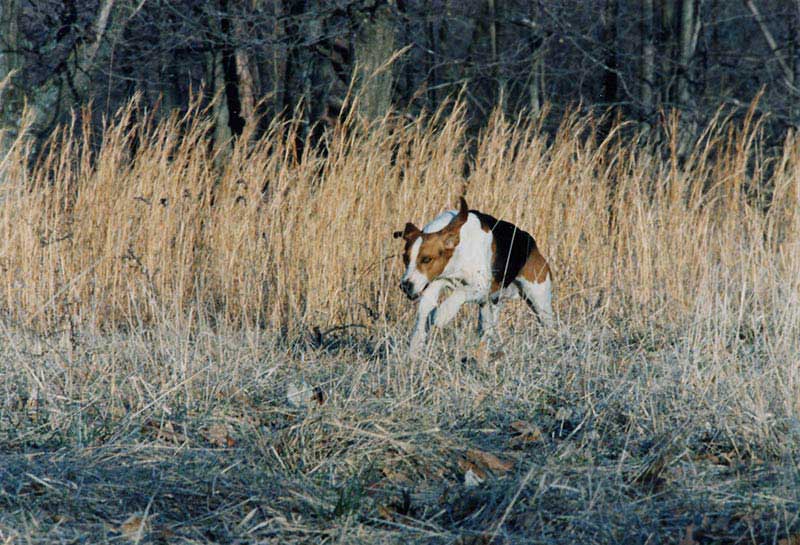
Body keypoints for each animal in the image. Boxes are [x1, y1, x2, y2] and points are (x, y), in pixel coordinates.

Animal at [392, 198, 552, 354]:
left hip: (540, 301)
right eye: (405, 259)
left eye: (426, 259)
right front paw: (414, 349)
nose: (405, 286)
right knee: (487, 332)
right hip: (488, 306)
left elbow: (459, 293)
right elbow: (424, 311)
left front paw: (443, 314)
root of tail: (531, 241)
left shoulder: (482, 286)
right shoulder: (435, 282)